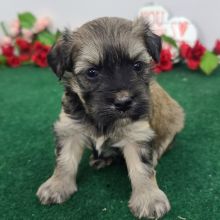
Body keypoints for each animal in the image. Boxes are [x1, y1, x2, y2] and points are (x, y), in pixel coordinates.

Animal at [37, 16, 185, 219]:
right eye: (92, 72)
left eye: (137, 66)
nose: (123, 103)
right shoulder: (70, 129)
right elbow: (64, 160)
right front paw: (57, 185)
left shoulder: (137, 133)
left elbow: (142, 168)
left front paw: (148, 198)